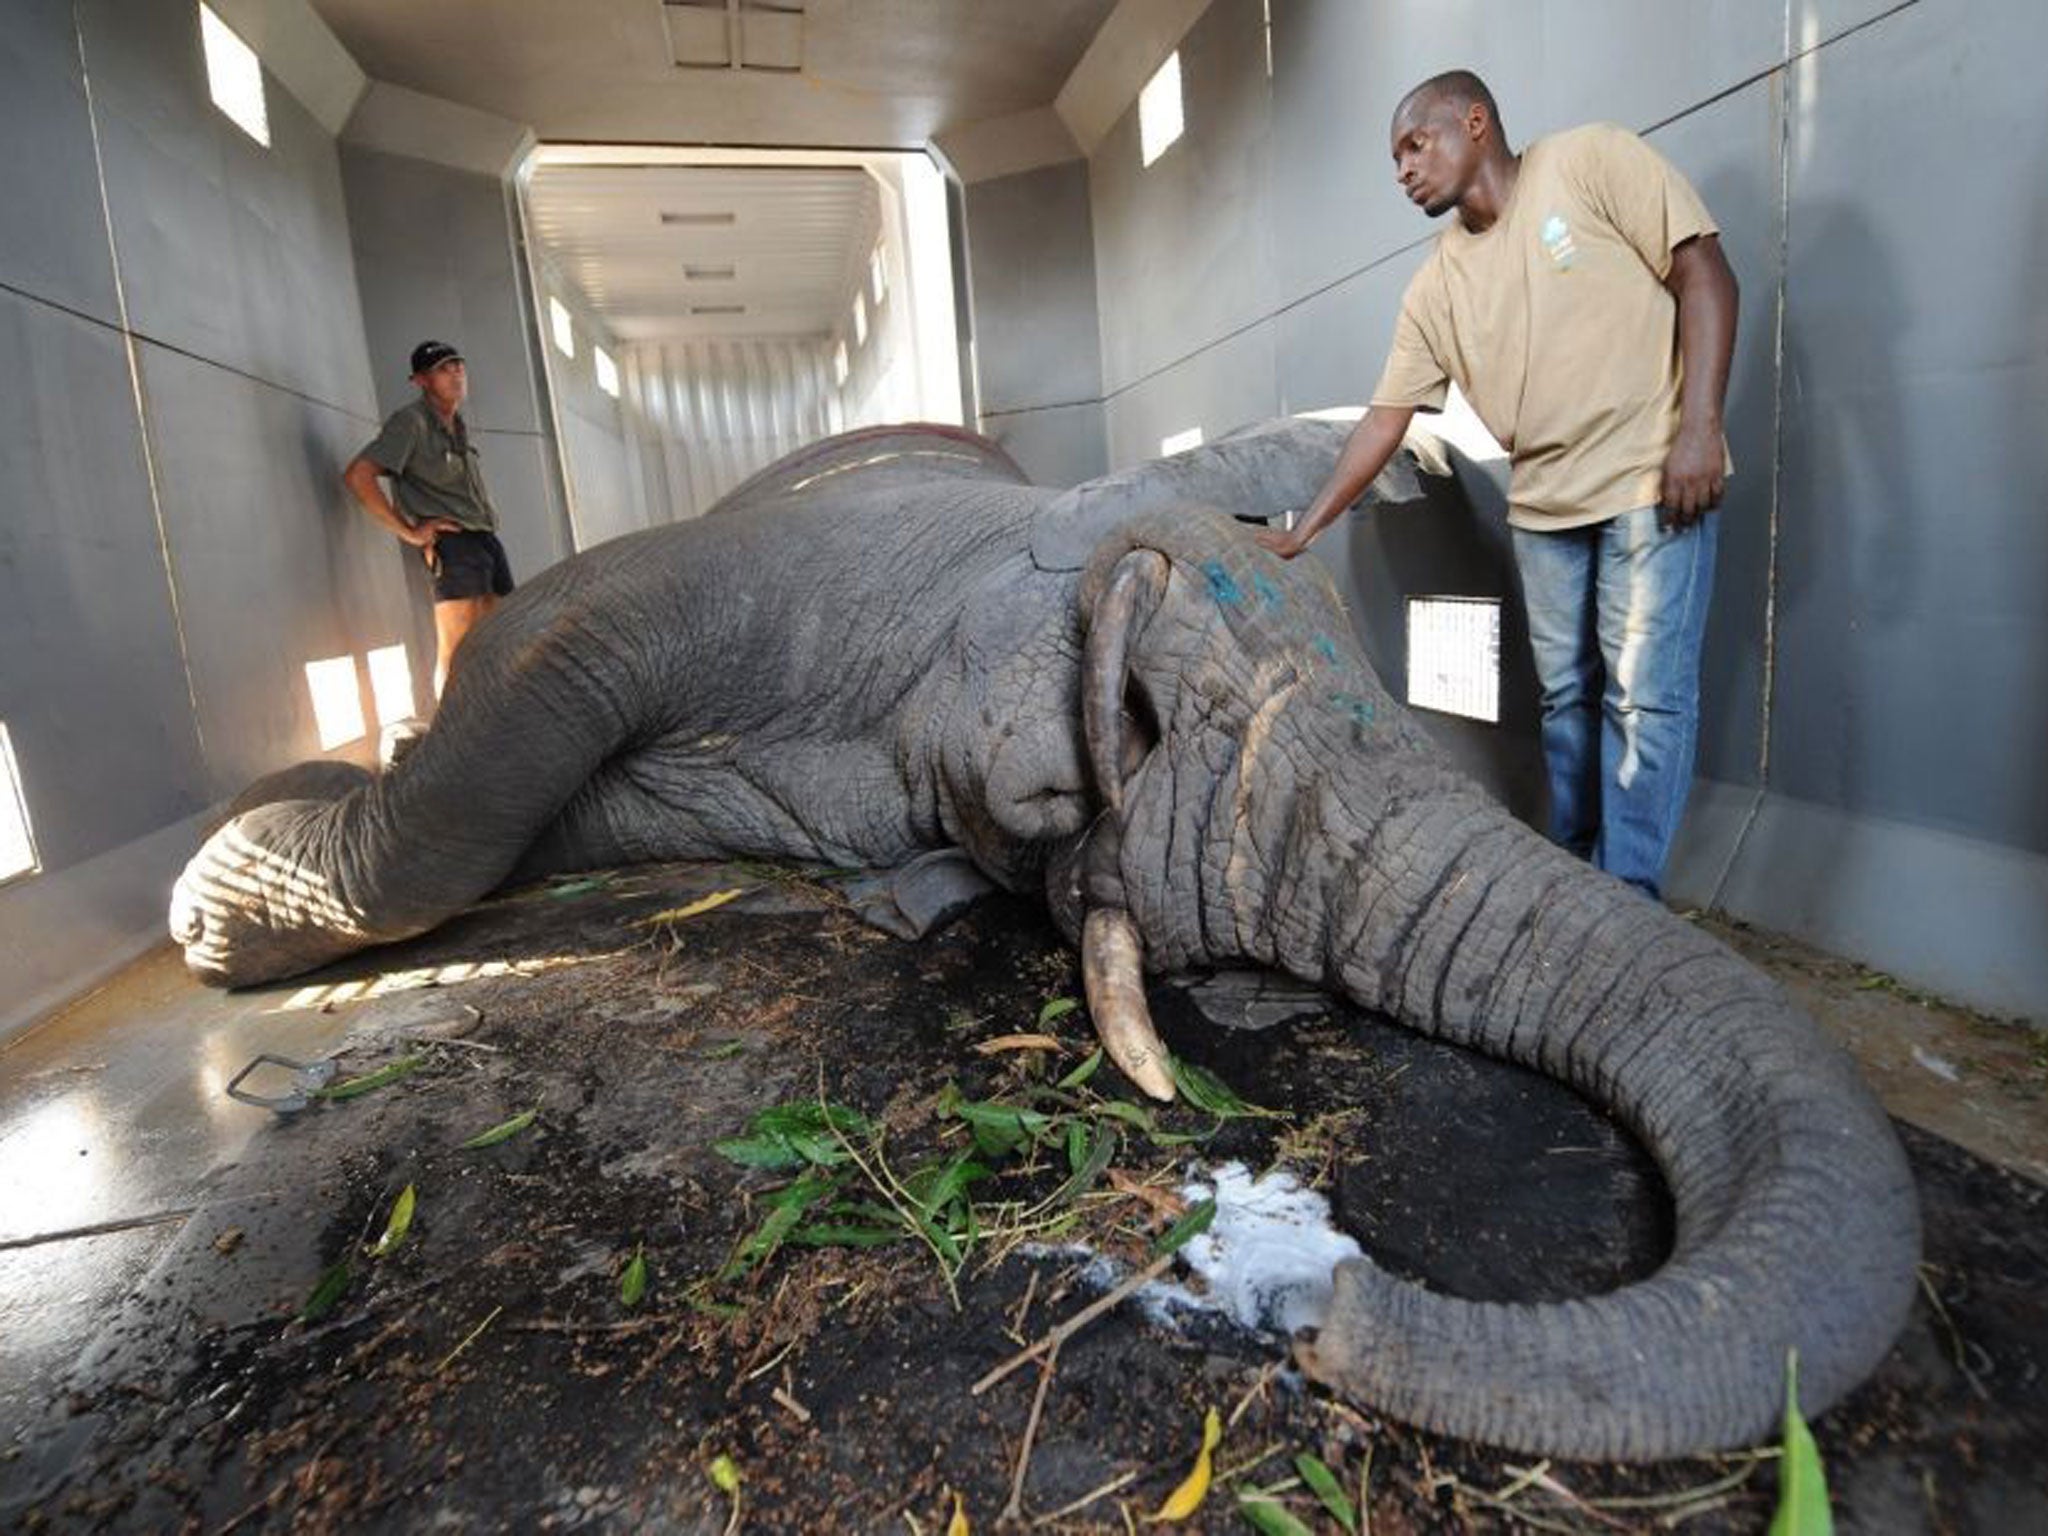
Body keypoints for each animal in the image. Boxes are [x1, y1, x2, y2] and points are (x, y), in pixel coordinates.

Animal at [172, 417, 1916, 1466]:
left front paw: (918, 888)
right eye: (1139, 710)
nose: (1320, 1311)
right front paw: (217, 899)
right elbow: (541, 677)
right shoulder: (747, 586)